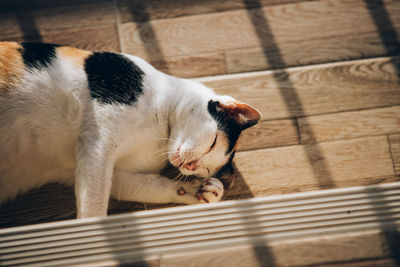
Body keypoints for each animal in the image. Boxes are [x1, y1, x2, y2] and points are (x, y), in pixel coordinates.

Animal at [0, 41, 260, 218]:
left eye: (205, 169)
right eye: (213, 142)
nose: (190, 166)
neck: (160, 131)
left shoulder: (112, 174)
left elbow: (152, 185)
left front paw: (202, 190)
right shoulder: (98, 145)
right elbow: (94, 207)